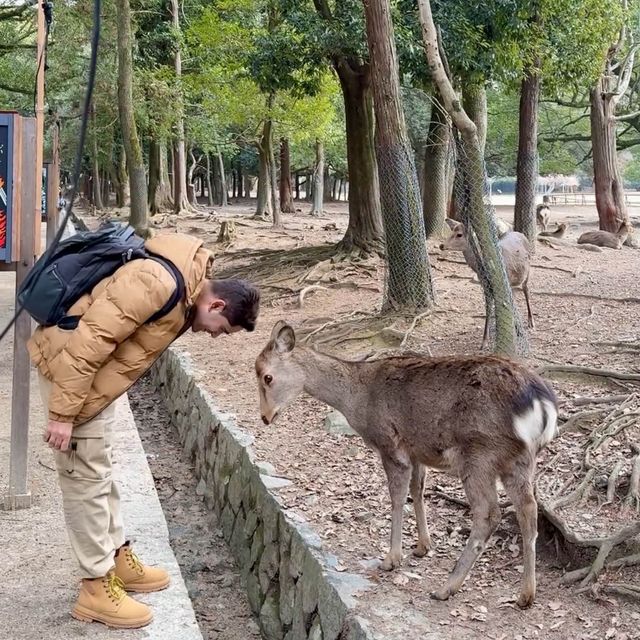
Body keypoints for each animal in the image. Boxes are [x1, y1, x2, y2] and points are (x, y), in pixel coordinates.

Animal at [255, 322, 556, 608]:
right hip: (520, 460)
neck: (357, 398)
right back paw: (526, 595)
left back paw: (447, 588)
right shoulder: (417, 451)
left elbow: (397, 497)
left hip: (480, 454)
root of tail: (543, 406)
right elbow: (418, 491)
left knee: (489, 513)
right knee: (528, 509)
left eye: (267, 377)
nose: (265, 417)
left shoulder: (391, 445)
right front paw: (423, 546)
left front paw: (391, 558)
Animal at [440, 221, 536, 350]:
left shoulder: (504, 281)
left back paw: (531, 322)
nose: (441, 245)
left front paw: (516, 332)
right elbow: (488, 309)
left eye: (459, 234)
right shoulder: (486, 286)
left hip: (527, 270)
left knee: (526, 289)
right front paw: (484, 341)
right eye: (452, 230)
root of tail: (521, 233)